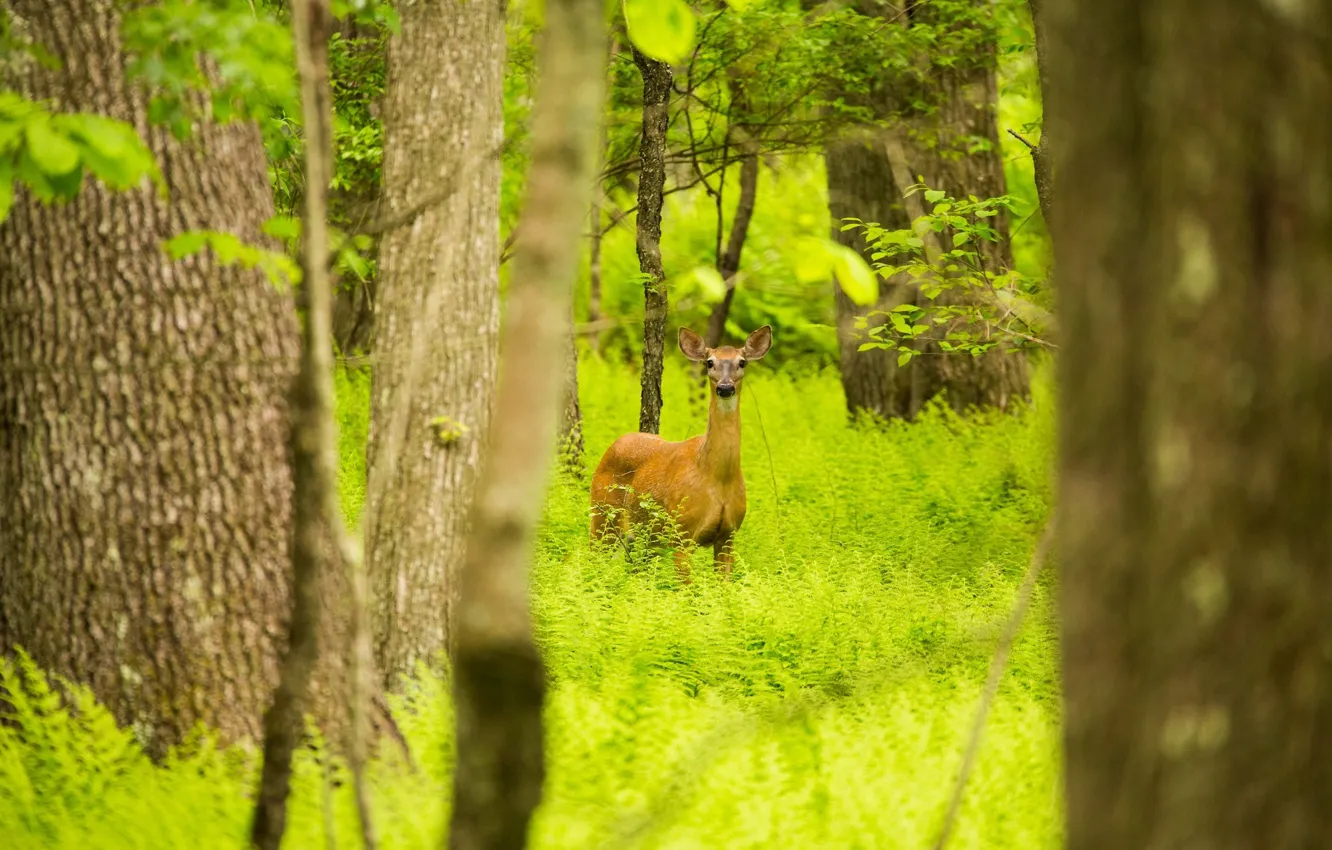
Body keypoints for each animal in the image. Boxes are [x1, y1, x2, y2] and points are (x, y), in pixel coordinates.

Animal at [589, 325, 772, 582]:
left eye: (742, 362)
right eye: (709, 362)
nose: (725, 387)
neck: (717, 478)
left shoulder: (729, 534)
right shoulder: (681, 532)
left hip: (643, 536)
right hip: (602, 513)